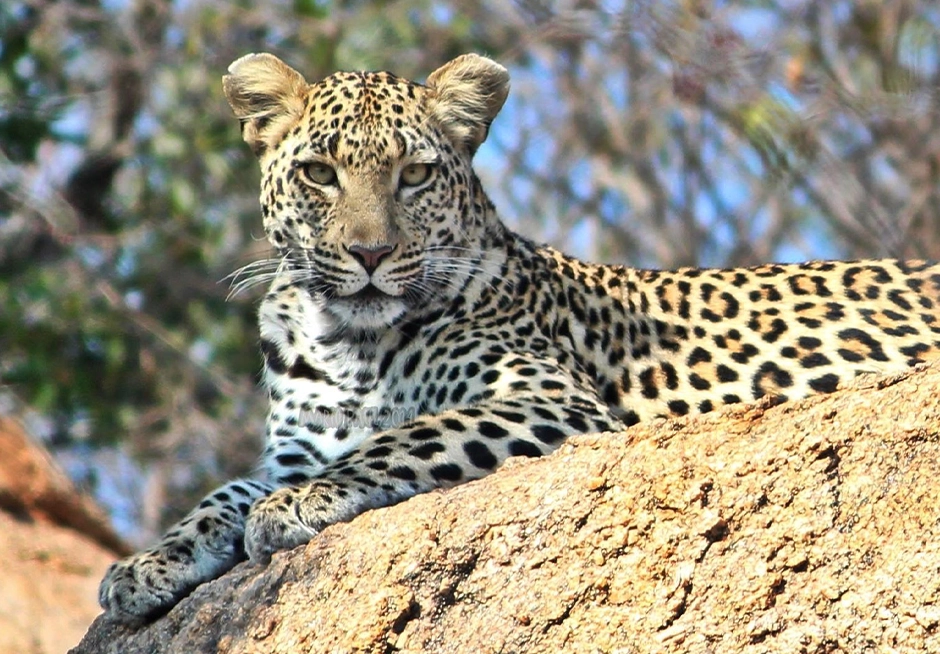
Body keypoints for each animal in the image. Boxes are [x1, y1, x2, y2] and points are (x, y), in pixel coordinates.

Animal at [98, 52, 940, 622]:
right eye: (319, 174)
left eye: (413, 175)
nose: (369, 254)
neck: (347, 346)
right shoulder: (292, 447)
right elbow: (223, 494)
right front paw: (148, 563)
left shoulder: (549, 399)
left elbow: (404, 436)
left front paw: (301, 504)